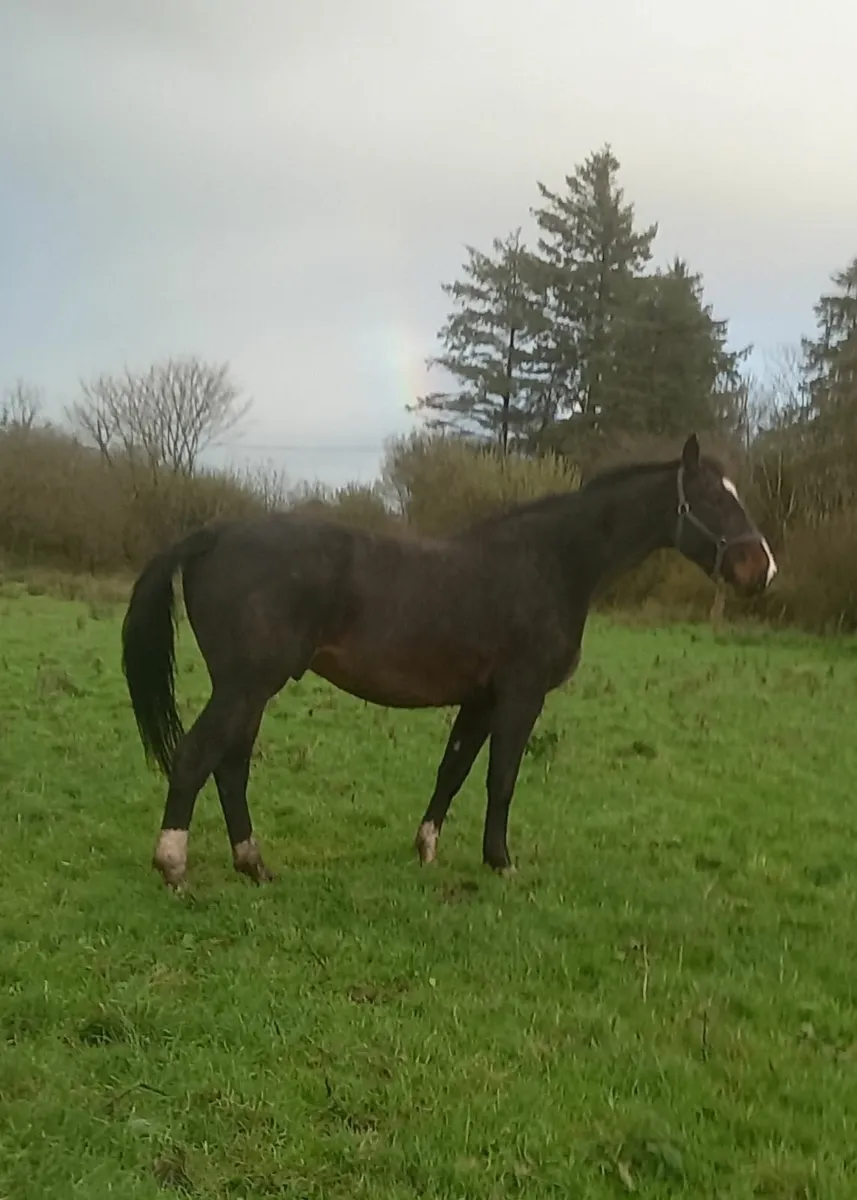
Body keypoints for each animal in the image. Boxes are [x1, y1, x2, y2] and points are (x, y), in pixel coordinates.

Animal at [120, 433, 777, 890]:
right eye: (711, 498)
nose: (762, 568)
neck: (551, 562)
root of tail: (215, 535)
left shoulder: (480, 698)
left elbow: (454, 769)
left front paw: (427, 849)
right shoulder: (520, 694)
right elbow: (501, 779)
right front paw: (501, 863)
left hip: (252, 690)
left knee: (230, 768)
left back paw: (254, 866)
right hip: (246, 684)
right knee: (196, 757)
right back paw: (173, 865)